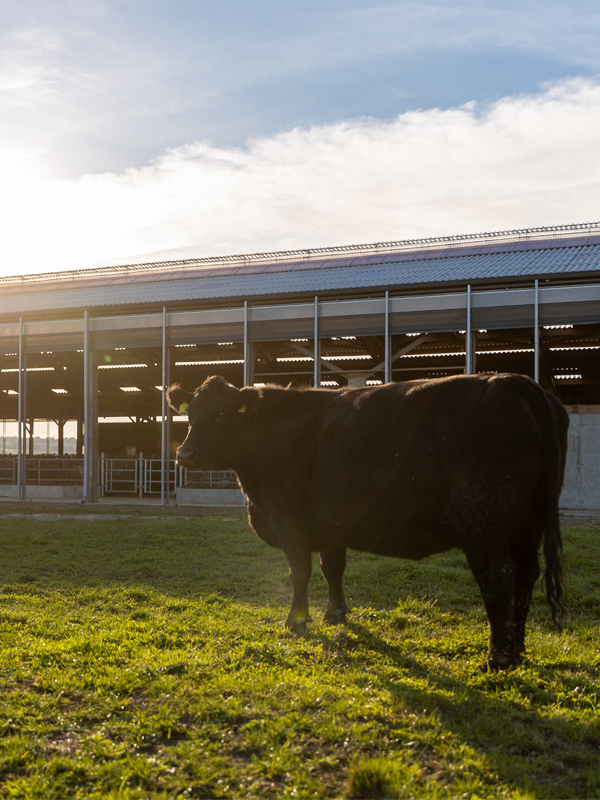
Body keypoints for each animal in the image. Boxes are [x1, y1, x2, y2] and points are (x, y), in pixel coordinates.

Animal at [168, 372, 568, 671]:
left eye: (221, 415)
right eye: (191, 414)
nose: (183, 455)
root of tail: (520, 383)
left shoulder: (285, 518)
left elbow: (299, 571)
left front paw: (295, 620)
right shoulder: (329, 522)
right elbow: (332, 568)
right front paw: (335, 615)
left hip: (484, 526)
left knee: (498, 578)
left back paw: (498, 658)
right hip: (527, 526)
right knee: (526, 576)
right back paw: (518, 648)